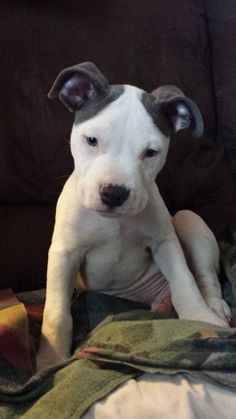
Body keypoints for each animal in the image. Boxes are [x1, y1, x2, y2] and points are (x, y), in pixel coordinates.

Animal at [37, 61, 230, 370]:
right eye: (91, 140)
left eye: (151, 152)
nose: (114, 193)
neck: (113, 222)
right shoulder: (64, 253)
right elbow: (56, 313)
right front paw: (50, 360)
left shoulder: (164, 242)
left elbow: (184, 282)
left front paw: (200, 319)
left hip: (188, 219)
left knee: (205, 277)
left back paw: (215, 308)